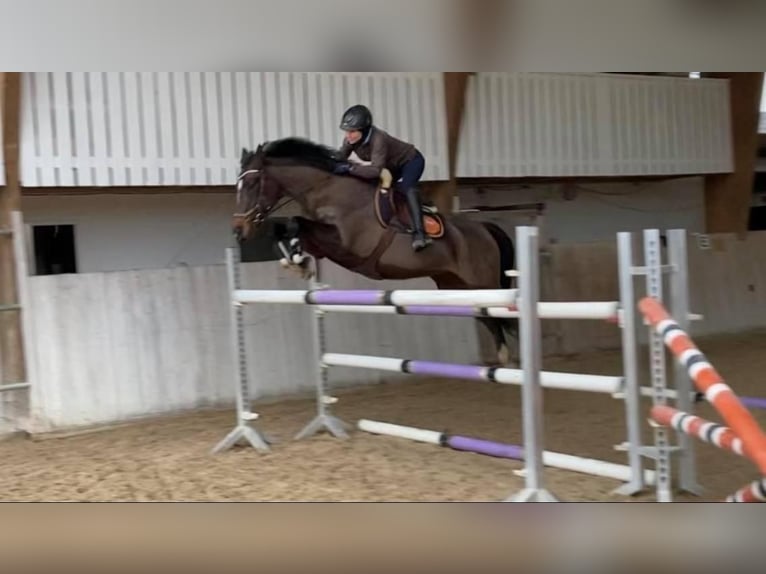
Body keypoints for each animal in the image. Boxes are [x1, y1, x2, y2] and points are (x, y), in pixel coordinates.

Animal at [232, 137, 518, 366]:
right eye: (237, 186)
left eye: (253, 182)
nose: (238, 230)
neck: (327, 190)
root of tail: (484, 227)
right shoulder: (324, 243)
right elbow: (290, 228)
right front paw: (295, 260)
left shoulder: (347, 245)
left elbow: (297, 222)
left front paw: (296, 259)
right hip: (457, 287)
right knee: (488, 317)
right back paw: (504, 357)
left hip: (483, 283)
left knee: (504, 312)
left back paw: (510, 359)